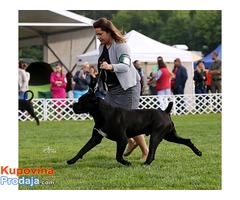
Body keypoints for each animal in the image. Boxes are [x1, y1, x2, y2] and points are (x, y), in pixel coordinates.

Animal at [66, 92, 202, 166]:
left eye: (81, 101)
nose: (72, 105)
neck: (102, 113)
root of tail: (165, 111)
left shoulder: (122, 140)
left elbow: (118, 157)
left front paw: (127, 163)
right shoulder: (95, 138)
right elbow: (82, 149)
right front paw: (72, 160)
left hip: (156, 136)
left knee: (152, 152)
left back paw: (146, 163)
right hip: (170, 136)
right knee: (187, 141)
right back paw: (198, 152)